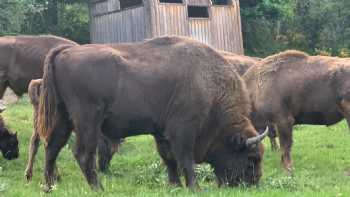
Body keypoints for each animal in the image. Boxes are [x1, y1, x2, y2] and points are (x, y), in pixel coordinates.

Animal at [37, 35, 268, 191]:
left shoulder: (161, 132)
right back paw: (98, 189)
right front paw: (194, 188)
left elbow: (169, 159)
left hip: (63, 117)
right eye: (251, 158)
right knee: (83, 154)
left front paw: (175, 186)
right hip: (87, 120)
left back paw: (49, 187)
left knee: (52, 148)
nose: (254, 183)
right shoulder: (183, 130)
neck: (208, 85)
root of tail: (65, 52)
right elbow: (185, 160)